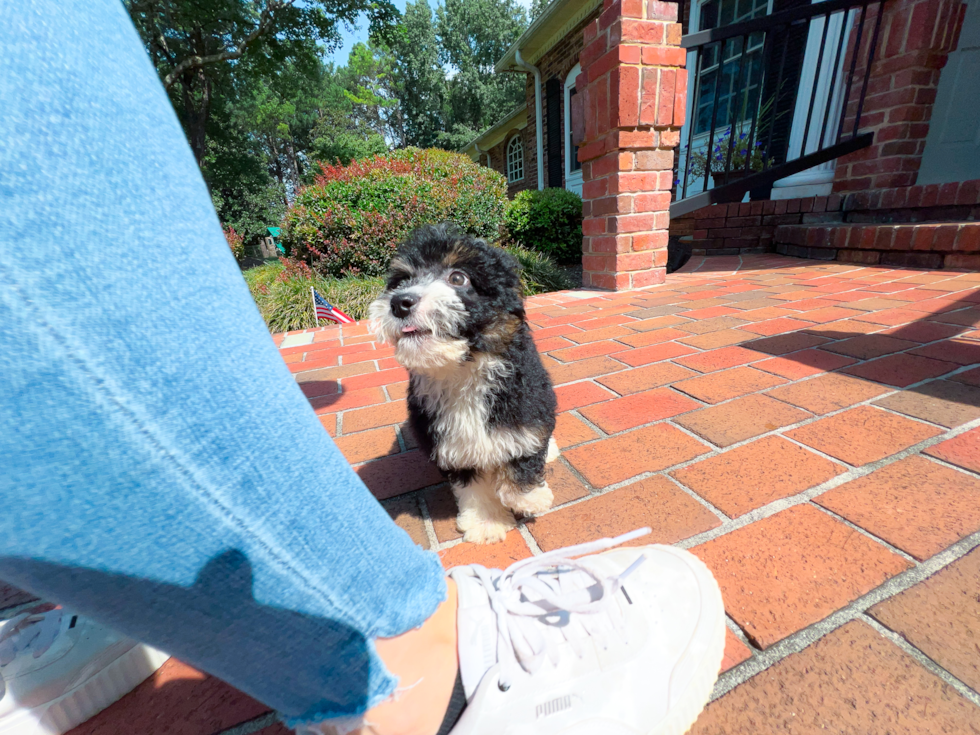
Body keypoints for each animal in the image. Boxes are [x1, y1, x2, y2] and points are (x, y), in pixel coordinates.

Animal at [370, 226, 560, 548]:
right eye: (403, 280)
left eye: (458, 278)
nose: (399, 302)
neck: (462, 371)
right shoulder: (450, 444)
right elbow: (474, 487)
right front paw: (486, 522)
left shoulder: (527, 406)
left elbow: (524, 447)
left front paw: (529, 497)